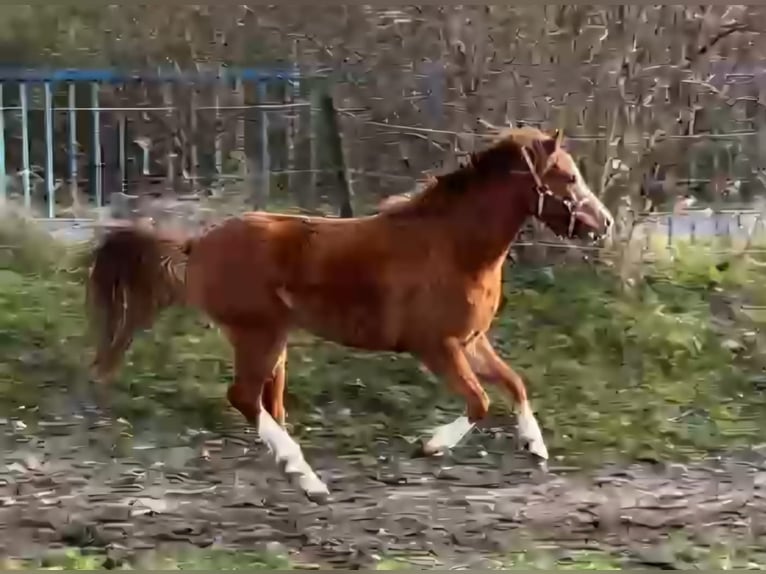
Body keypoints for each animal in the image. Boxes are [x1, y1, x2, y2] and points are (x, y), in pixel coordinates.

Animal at [87, 127, 616, 504]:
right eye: (569, 177)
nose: (605, 223)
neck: (455, 248)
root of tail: (197, 246)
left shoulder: (471, 340)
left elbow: (514, 383)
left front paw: (535, 447)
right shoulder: (436, 347)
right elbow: (480, 402)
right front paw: (429, 446)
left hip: (274, 341)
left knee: (267, 404)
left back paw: (298, 475)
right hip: (259, 334)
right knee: (244, 398)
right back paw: (308, 480)